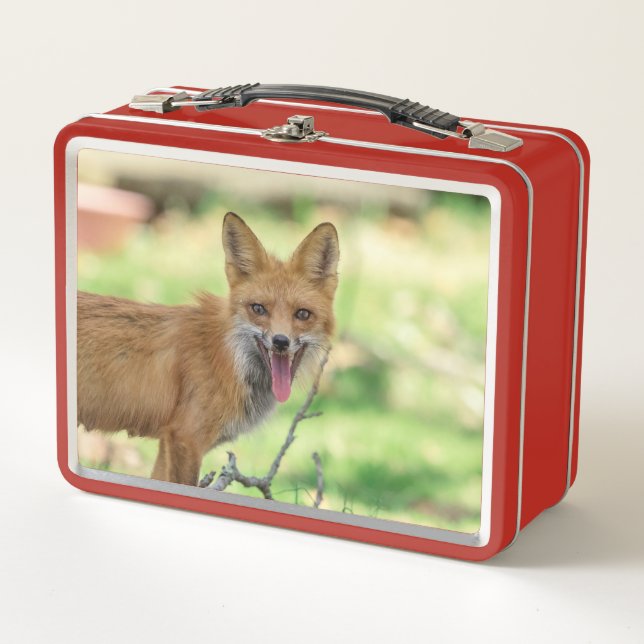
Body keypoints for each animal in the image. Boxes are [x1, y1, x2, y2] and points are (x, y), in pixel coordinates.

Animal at [77, 212, 339, 486]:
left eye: (302, 314)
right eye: (258, 309)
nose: (280, 341)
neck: (228, 358)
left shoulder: (167, 441)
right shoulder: (186, 438)